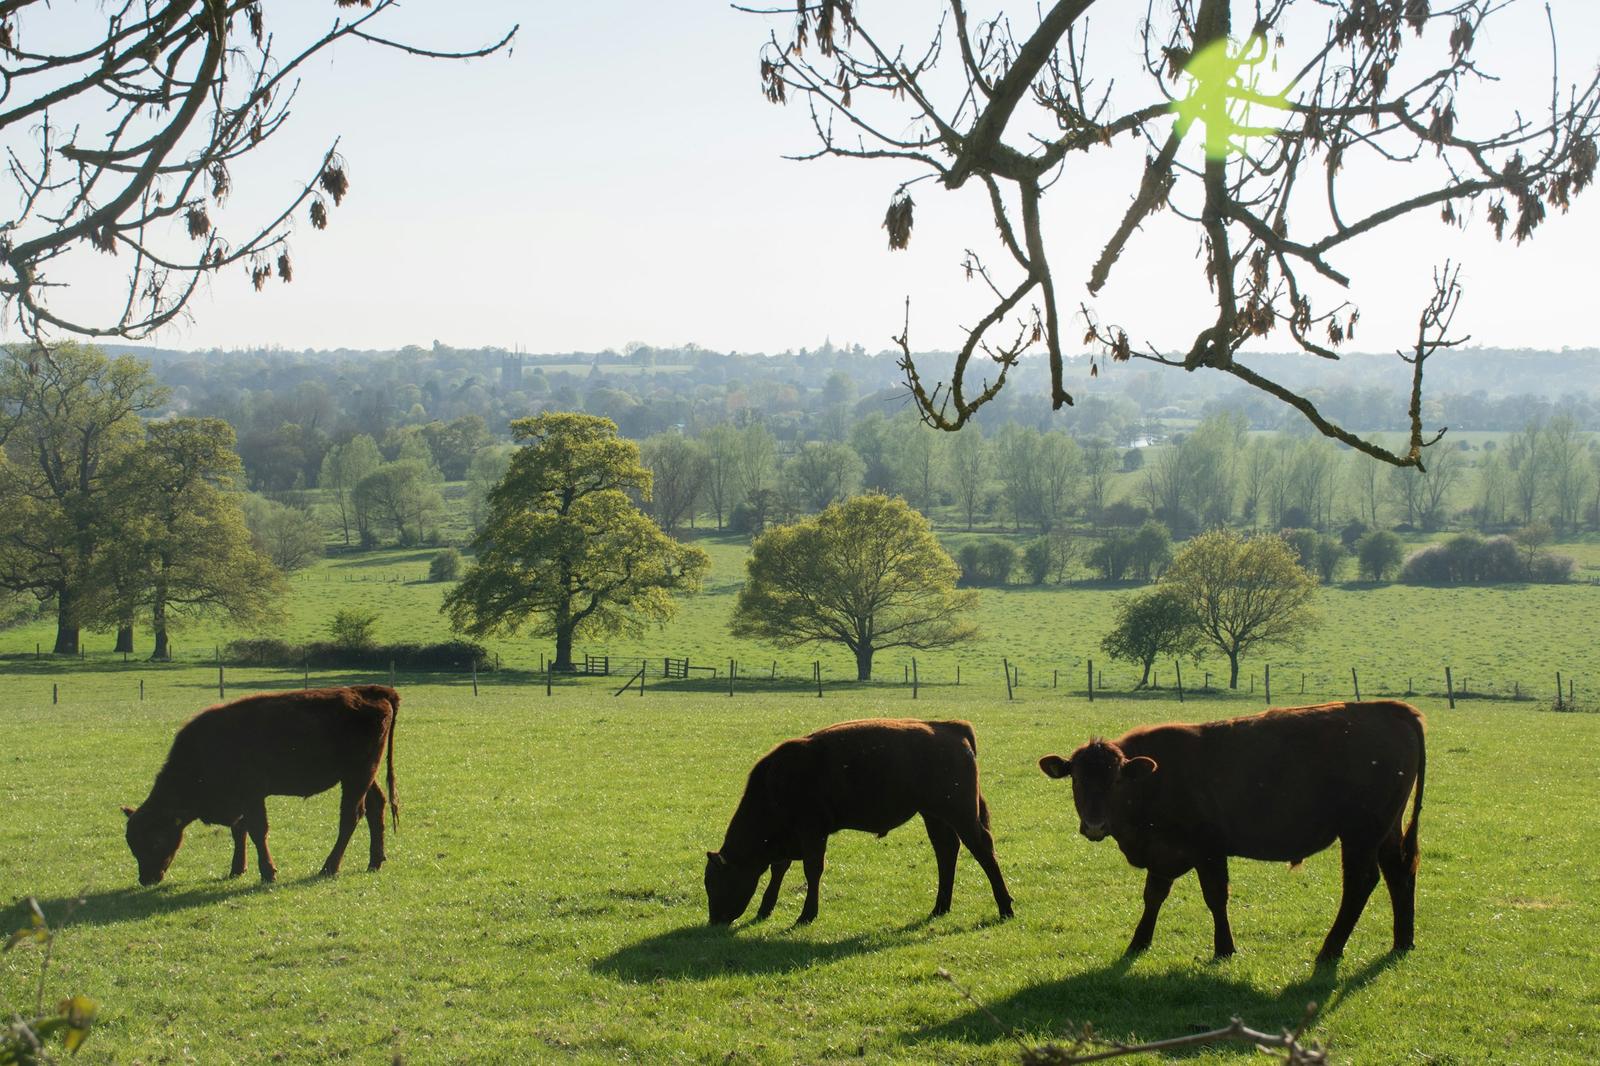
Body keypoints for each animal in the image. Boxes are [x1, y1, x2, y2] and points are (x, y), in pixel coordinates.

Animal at [122, 685, 399, 886]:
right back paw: (375, 862)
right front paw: (237, 869)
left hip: (356, 777)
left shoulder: (252, 796)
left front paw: (268, 873)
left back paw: (329, 867)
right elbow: (240, 830)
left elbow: (256, 830)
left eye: (156, 840)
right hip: (364, 776)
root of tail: (374, 690)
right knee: (377, 805)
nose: (146, 879)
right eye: (132, 844)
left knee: (351, 816)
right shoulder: (241, 802)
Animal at [704, 718, 1014, 926]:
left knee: (983, 850)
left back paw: (1005, 907)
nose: (715, 919)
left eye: (715, 882)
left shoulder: (812, 832)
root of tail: (951, 727)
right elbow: (779, 869)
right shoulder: (790, 838)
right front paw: (765, 908)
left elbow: (812, 870)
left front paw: (806, 914)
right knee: (946, 852)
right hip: (934, 816)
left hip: (960, 814)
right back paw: (940, 907)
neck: (773, 784)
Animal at [1038, 700, 1424, 964]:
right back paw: (1402, 941)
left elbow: (1215, 897)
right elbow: (1153, 896)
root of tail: (1389, 709)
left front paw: (1224, 947)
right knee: (1399, 871)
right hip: (1387, 830)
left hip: (1360, 834)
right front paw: (1139, 941)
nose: (1095, 825)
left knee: (1360, 882)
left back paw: (1330, 949)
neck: (1156, 777)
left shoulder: (1208, 850)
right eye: (1076, 778)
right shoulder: (1163, 854)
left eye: (1117, 780)